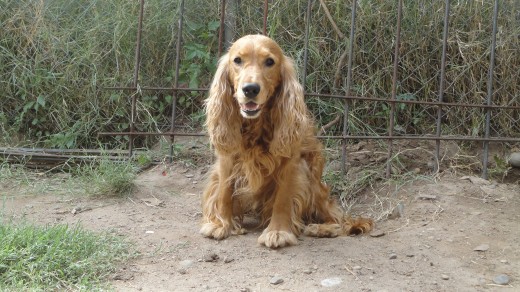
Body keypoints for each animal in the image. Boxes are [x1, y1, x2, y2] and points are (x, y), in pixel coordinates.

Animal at [198, 34, 370, 249]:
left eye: (270, 62)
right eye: (237, 60)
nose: (250, 89)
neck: (256, 125)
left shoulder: (292, 163)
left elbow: (283, 199)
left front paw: (278, 231)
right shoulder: (227, 159)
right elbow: (224, 192)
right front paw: (221, 224)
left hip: (313, 183)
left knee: (338, 217)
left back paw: (322, 228)